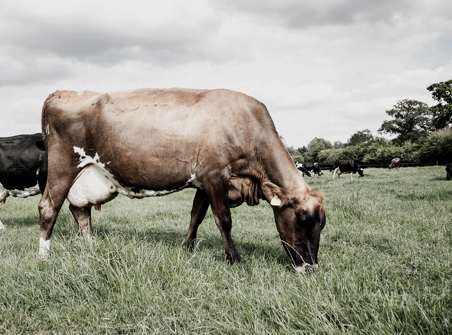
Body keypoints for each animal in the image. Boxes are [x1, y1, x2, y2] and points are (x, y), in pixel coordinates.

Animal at [39, 88, 324, 272]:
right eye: (302, 218)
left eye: (322, 224)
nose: (311, 266)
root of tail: (61, 93)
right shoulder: (215, 174)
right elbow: (224, 220)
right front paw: (234, 259)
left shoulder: (204, 183)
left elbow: (196, 215)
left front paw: (186, 248)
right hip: (63, 167)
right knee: (48, 207)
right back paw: (44, 256)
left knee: (80, 210)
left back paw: (91, 247)